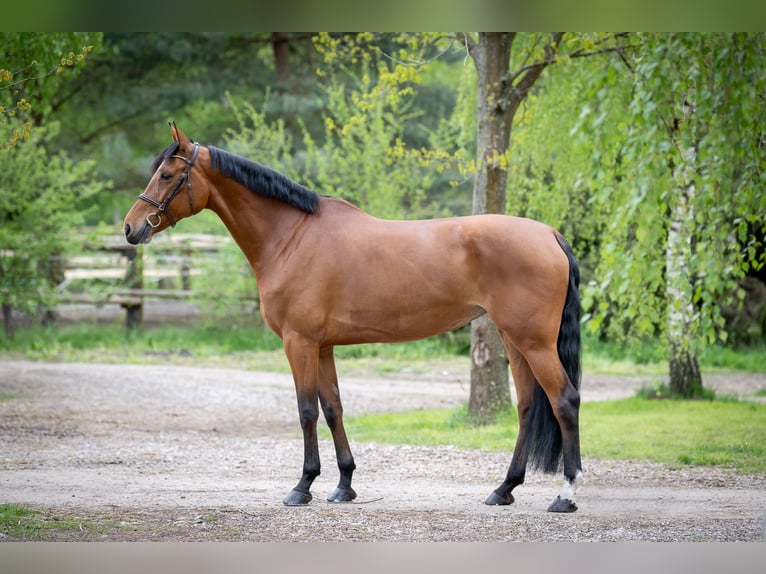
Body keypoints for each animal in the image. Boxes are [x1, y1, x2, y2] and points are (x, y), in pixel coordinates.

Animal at [123, 124, 584, 516]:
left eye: (166, 175)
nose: (130, 229)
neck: (291, 237)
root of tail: (549, 234)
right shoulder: (323, 346)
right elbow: (333, 409)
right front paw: (344, 485)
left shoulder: (298, 342)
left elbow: (306, 410)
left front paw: (302, 486)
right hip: (513, 340)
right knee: (527, 406)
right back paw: (503, 489)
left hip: (534, 343)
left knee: (564, 400)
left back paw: (565, 495)